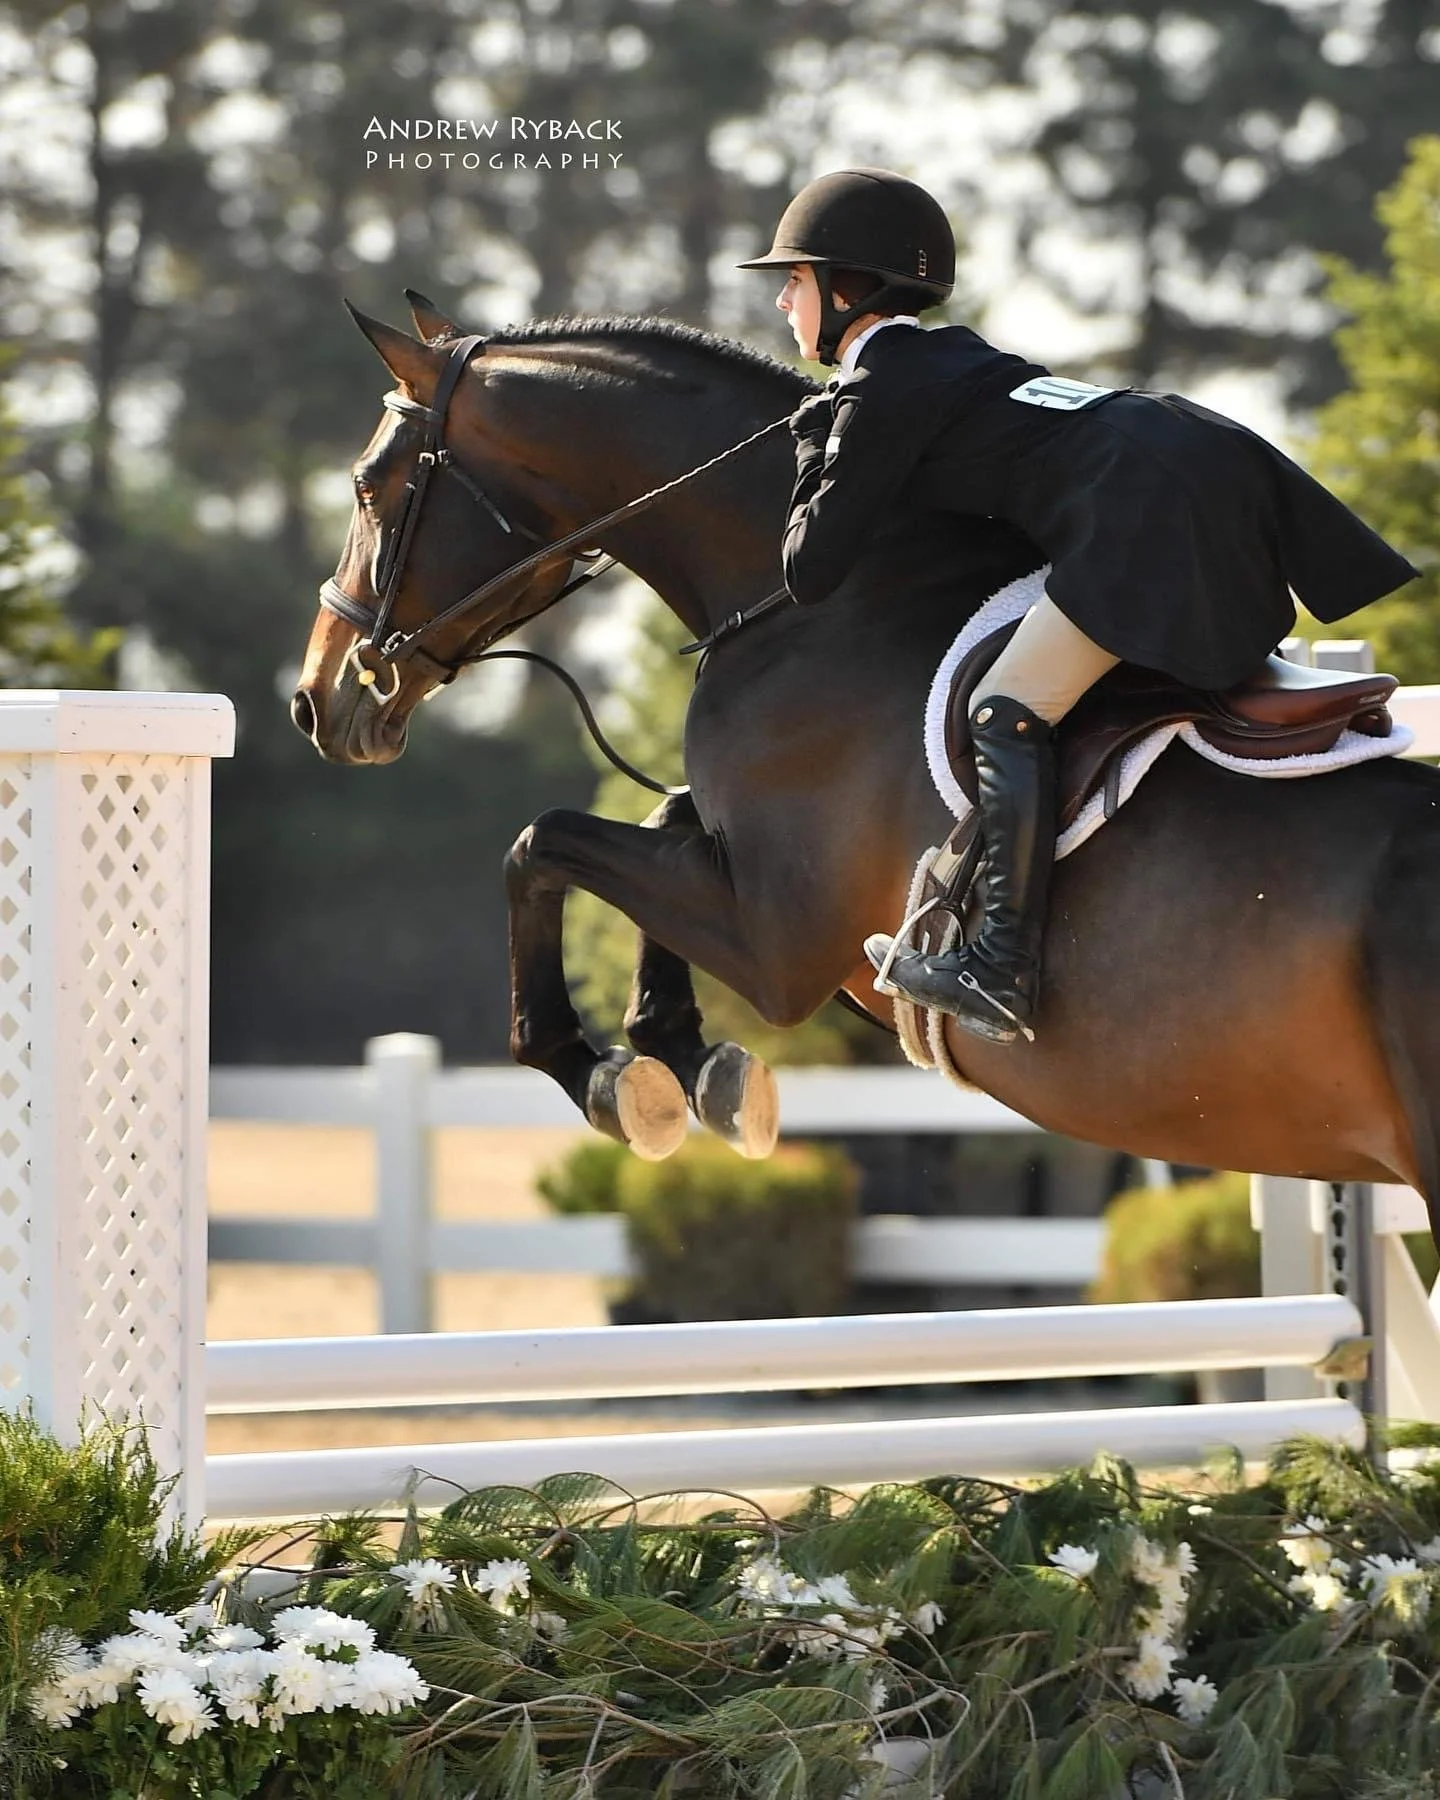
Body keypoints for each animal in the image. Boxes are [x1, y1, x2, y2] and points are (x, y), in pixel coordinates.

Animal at [292, 296, 1440, 1239]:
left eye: (368, 485)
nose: (320, 699)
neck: (820, 600)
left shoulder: (777, 944)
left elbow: (542, 843)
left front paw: (608, 1078)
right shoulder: (748, 885)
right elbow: (660, 821)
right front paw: (689, 1063)